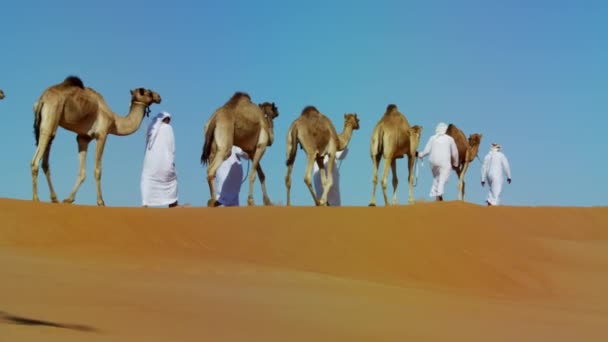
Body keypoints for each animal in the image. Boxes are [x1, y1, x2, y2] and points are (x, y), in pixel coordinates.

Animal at [29, 76, 163, 206]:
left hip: (48, 122)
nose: (159, 96)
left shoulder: (83, 138)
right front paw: (101, 202)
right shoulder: (102, 134)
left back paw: (54, 198)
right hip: (51, 115)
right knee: (36, 160)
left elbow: (82, 172)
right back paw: (36, 198)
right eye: (148, 92)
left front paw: (68, 199)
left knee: (45, 161)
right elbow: (97, 170)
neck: (115, 121)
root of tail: (42, 99)